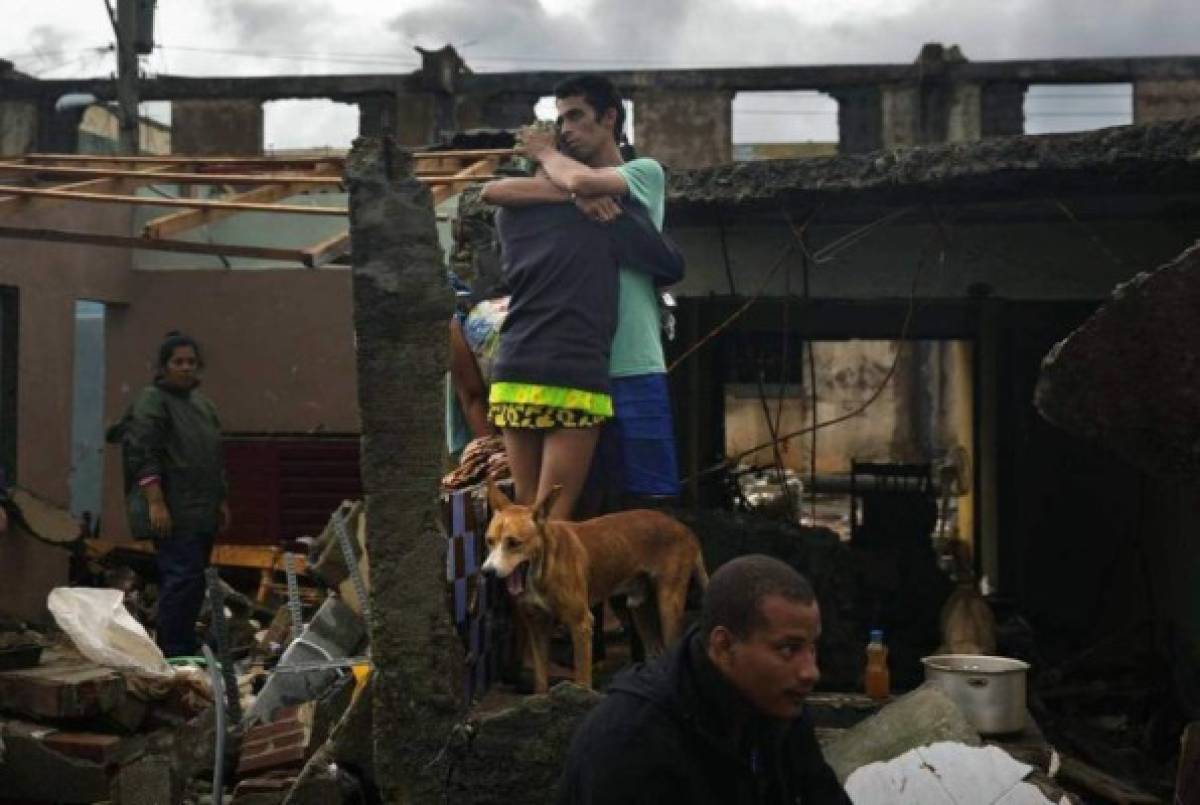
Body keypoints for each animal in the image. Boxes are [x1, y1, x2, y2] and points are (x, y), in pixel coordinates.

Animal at [482, 484, 705, 691]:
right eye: (489, 541)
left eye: (513, 542)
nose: (487, 571)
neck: (542, 567)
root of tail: (684, 528)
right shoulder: (537, 626)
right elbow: (540, 681)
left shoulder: (581, 624)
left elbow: (582, 679)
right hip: (639, 607)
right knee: (654, 652)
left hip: (668, 606)